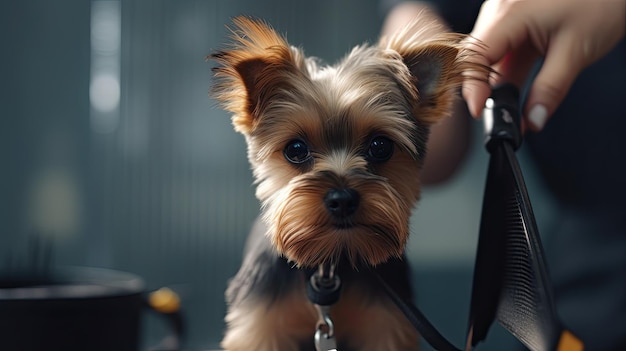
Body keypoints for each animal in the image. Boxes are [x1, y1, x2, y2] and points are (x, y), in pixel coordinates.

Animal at [210, 14, 488, 351]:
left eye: (380, 146)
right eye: (295, 149)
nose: (342, 199)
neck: (330, 264)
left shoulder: (385, 326)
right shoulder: (260, 328)